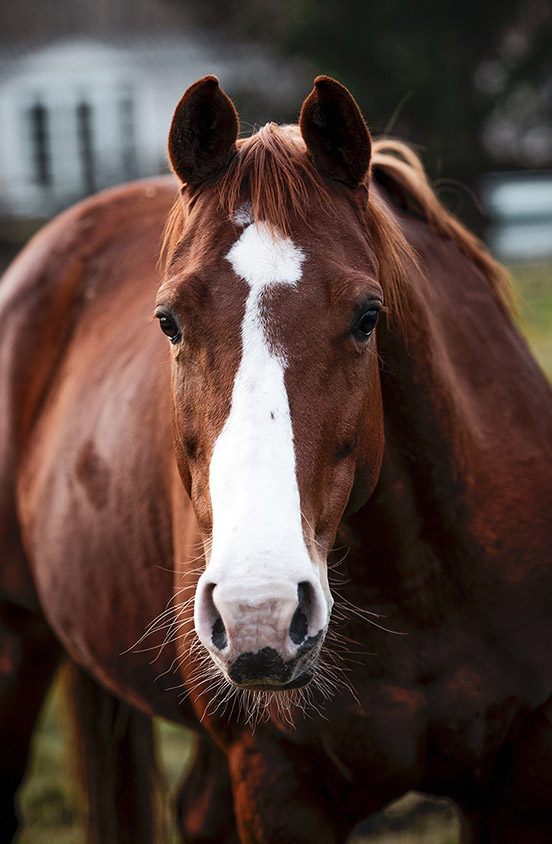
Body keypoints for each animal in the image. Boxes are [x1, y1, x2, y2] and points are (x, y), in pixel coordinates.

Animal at [1, 74, 552, 844]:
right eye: (168, 321)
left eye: (367, 316)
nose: (258, 613)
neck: (418, 588)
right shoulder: (277, 781)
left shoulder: (521, 773)